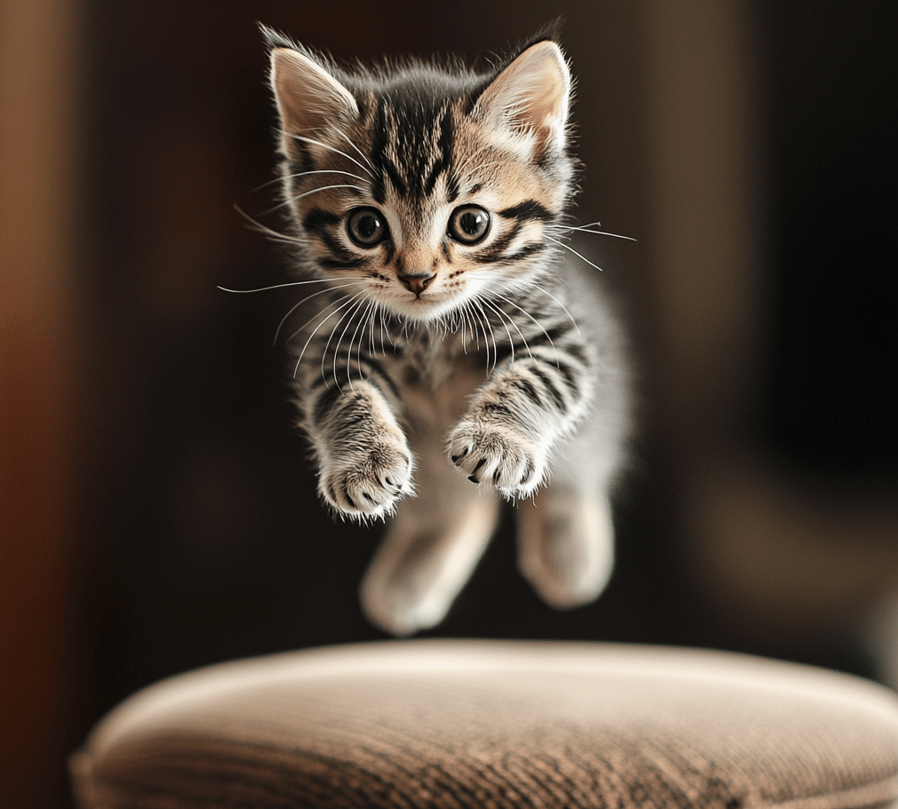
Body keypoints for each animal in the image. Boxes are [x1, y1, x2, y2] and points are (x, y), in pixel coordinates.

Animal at [262, 25, 632, 636]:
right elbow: (346, 396)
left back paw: (570, 558)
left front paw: (497, 440)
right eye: (366, 228)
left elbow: (533, 381)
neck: (430, 331)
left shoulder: (565, 336)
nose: (417, 277)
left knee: (574, 474)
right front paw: (364, 463)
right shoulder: (332, 345)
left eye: (471, 223)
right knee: (457, 508)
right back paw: (407, 581)